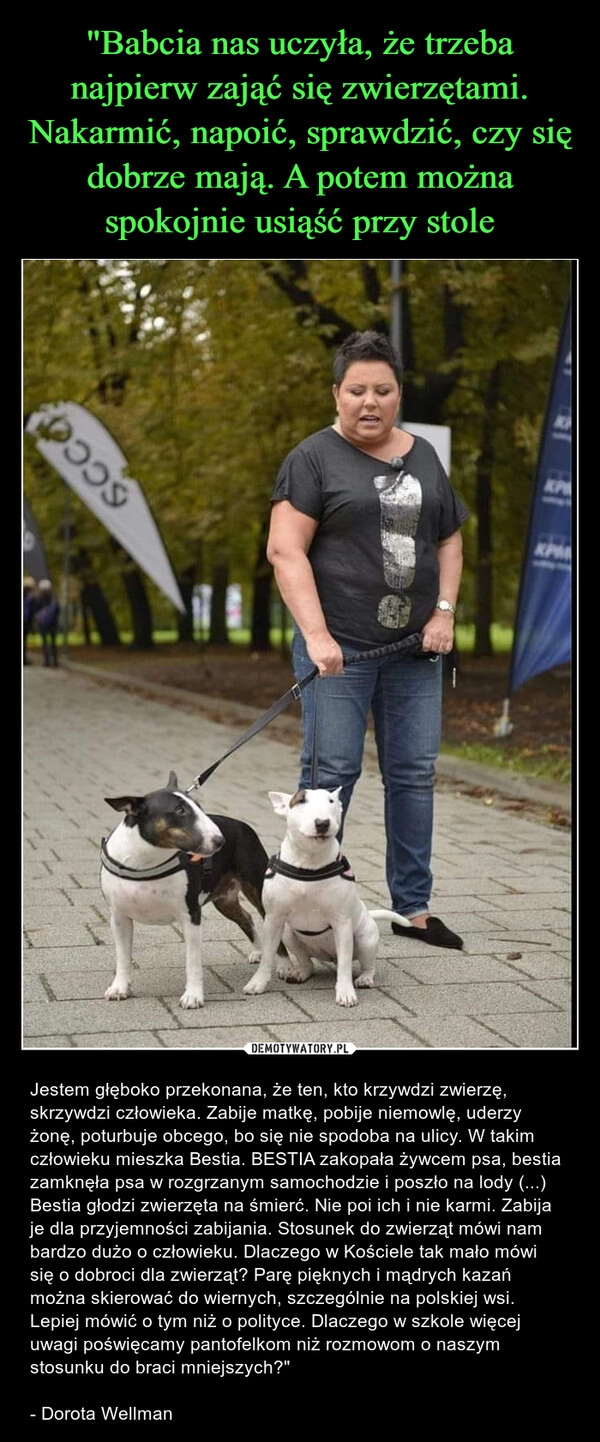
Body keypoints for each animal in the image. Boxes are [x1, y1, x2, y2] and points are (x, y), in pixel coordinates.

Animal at [101, 772, 271, 1009]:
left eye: (199, 807)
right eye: (180, 810)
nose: (220, 841)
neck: (146, 860)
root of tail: (243, 825)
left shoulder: (190, 915)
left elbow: (193, 961)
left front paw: (193, 996)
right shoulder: (119, 917)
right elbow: (123, 956)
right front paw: (119, 988)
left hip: (256, 887)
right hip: (224, 900)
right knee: (245, 917)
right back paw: (259, 951)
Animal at [240, 784, 409, 1009]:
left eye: (331, 801)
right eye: (301, 800)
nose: (322, 823)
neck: (309, 860)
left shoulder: (342, 922)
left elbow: (345, 965)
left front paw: (345, 993)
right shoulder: (274, 919)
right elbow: (268, 955)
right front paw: (257, 983)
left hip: (365, 938)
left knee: (366, 964)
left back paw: (364, 979)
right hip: (289, 933)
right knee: (307, 962)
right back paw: (300, 973)